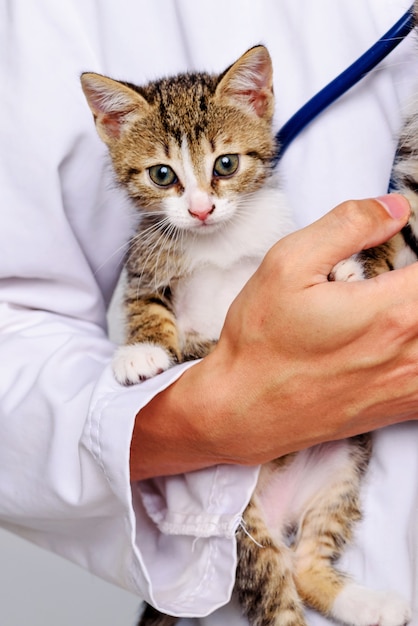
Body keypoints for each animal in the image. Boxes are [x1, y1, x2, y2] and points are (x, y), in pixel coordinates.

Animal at [81, 45, 412, 624]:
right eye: (162, 175)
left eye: (226, 164)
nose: (201, 209)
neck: (217, 241)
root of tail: (280, 511)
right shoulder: (145, 258)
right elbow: (145, 304)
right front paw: (141, 352)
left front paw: (348, 269)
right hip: (240, 532)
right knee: (279, 590)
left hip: (341, 469)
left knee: (305, 565)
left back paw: (367, 603)